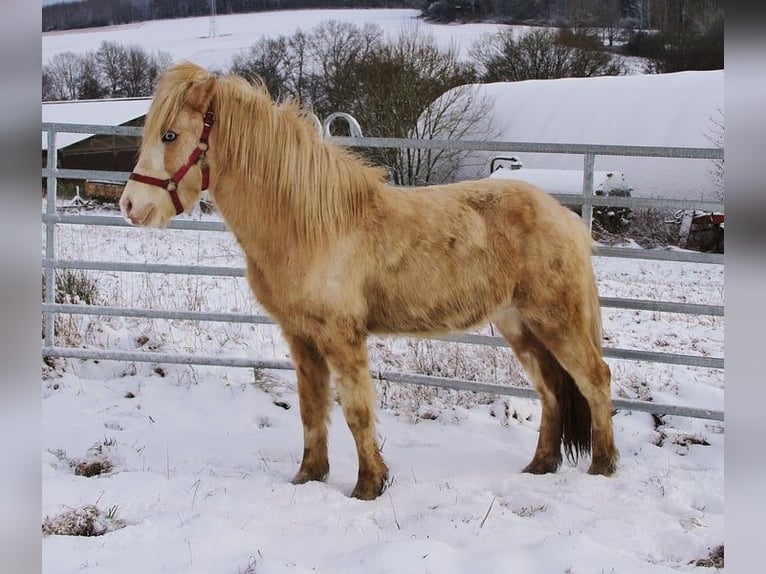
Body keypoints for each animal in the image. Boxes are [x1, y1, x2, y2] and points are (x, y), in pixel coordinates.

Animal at [120, 61, 618, 500]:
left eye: (169, 135)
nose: (130, 206)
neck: (309, 225)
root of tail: (568, 220)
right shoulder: (300, 336)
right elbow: (311, 408)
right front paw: (308, 476)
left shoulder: (343, 337)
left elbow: (357, 412)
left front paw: (368, 486)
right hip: (520, 325)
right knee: (552, 390)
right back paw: (541, 464)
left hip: (557, 320)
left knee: (595, 378)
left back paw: (603, 466)